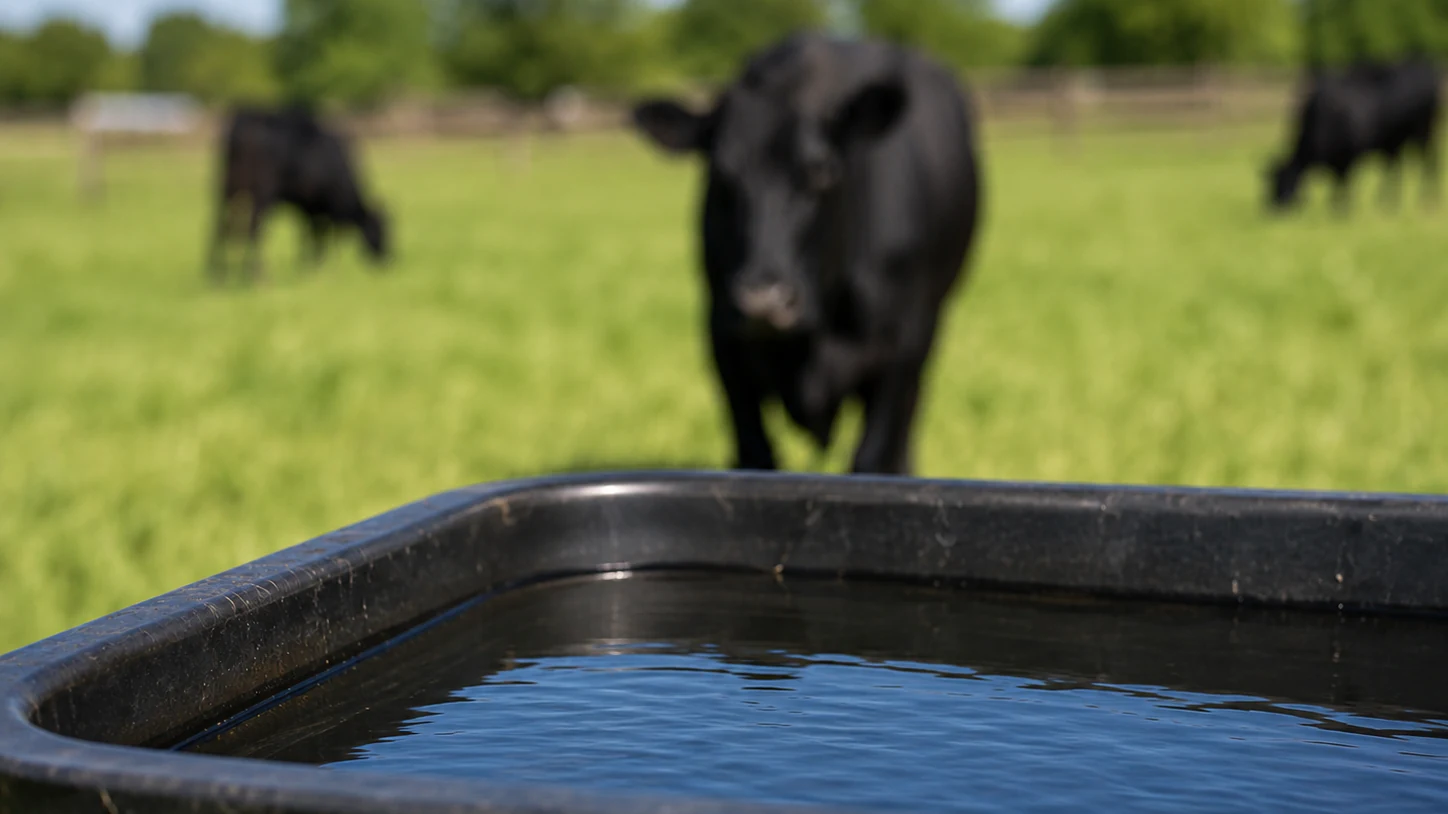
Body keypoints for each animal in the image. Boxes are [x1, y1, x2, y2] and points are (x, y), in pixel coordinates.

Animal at [208, 104, 389, 283]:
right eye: (380, 228)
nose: (389, 257)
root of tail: (249, 119)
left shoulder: (309, 205)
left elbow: (309, 233)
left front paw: (308, 266)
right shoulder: (320, 204)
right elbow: (319, 233)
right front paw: (318, 265)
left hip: (227, 187)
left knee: (221, 225)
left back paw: (218, 274)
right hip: (263, 192)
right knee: (253, 228)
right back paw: (257, 274)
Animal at [632, 34, 981, 475]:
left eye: (820, 170)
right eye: (721, 175)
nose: (763, 299)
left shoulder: (901, 346)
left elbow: (873, 458)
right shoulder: (724, 345)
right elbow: (755, 457)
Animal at [1268, 57, 1442, 212]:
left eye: (1282, 183)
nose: (1272, 208)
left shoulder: (1347, 158)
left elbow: (1343, 186)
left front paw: (1343, 210)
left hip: (1424, 132)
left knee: (1429, 161)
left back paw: (1428, 195)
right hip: (1395, 142)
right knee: (1395, 167)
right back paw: (1388, 201)